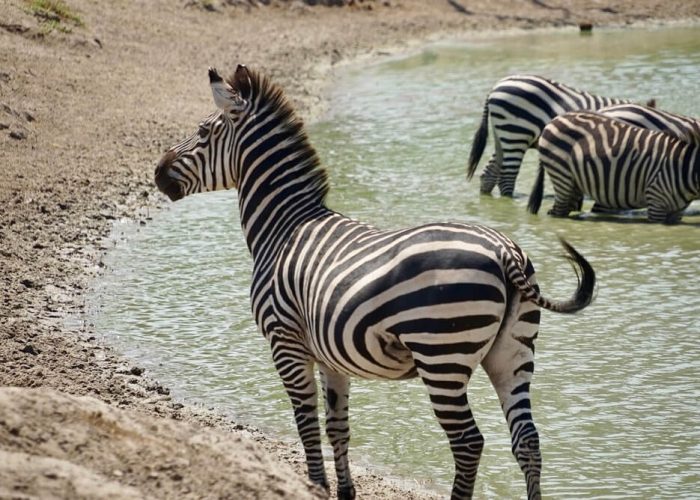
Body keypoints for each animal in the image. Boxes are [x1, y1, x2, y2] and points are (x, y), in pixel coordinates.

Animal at [154, 65, 596, 499]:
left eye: (203, 132)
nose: (157, 174)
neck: (285, 227)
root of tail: (504, 250)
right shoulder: (329, 356)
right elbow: (337, 427)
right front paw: (345, 491)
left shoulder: (285, 342)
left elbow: (305, 421)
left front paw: (315, 486)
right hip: (512, 352)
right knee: (528, 441)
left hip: (442, 355)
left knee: (468, 443)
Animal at [527, 111, 700, 223]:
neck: (685, 167)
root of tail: (553, 120)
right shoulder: (656, 200)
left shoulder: (677, 211)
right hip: (561, 174)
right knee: (557, 212)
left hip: (573, 182)